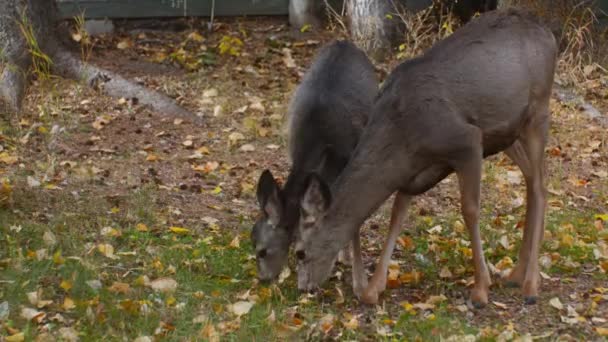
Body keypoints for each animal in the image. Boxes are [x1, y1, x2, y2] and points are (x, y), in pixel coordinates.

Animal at [294, 8, 556, 308]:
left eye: (300, 251)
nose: (303, 288)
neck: (404, 136)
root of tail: (548, 33)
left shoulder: (467, 140)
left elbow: (469, 210)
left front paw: (481, 289)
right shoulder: (414, 172)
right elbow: (397, 214)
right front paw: (373, 288)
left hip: (538, 110)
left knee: (540, 187)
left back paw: (531, 285)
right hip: (507, 135)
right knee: (533, 181)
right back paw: (516, 274)